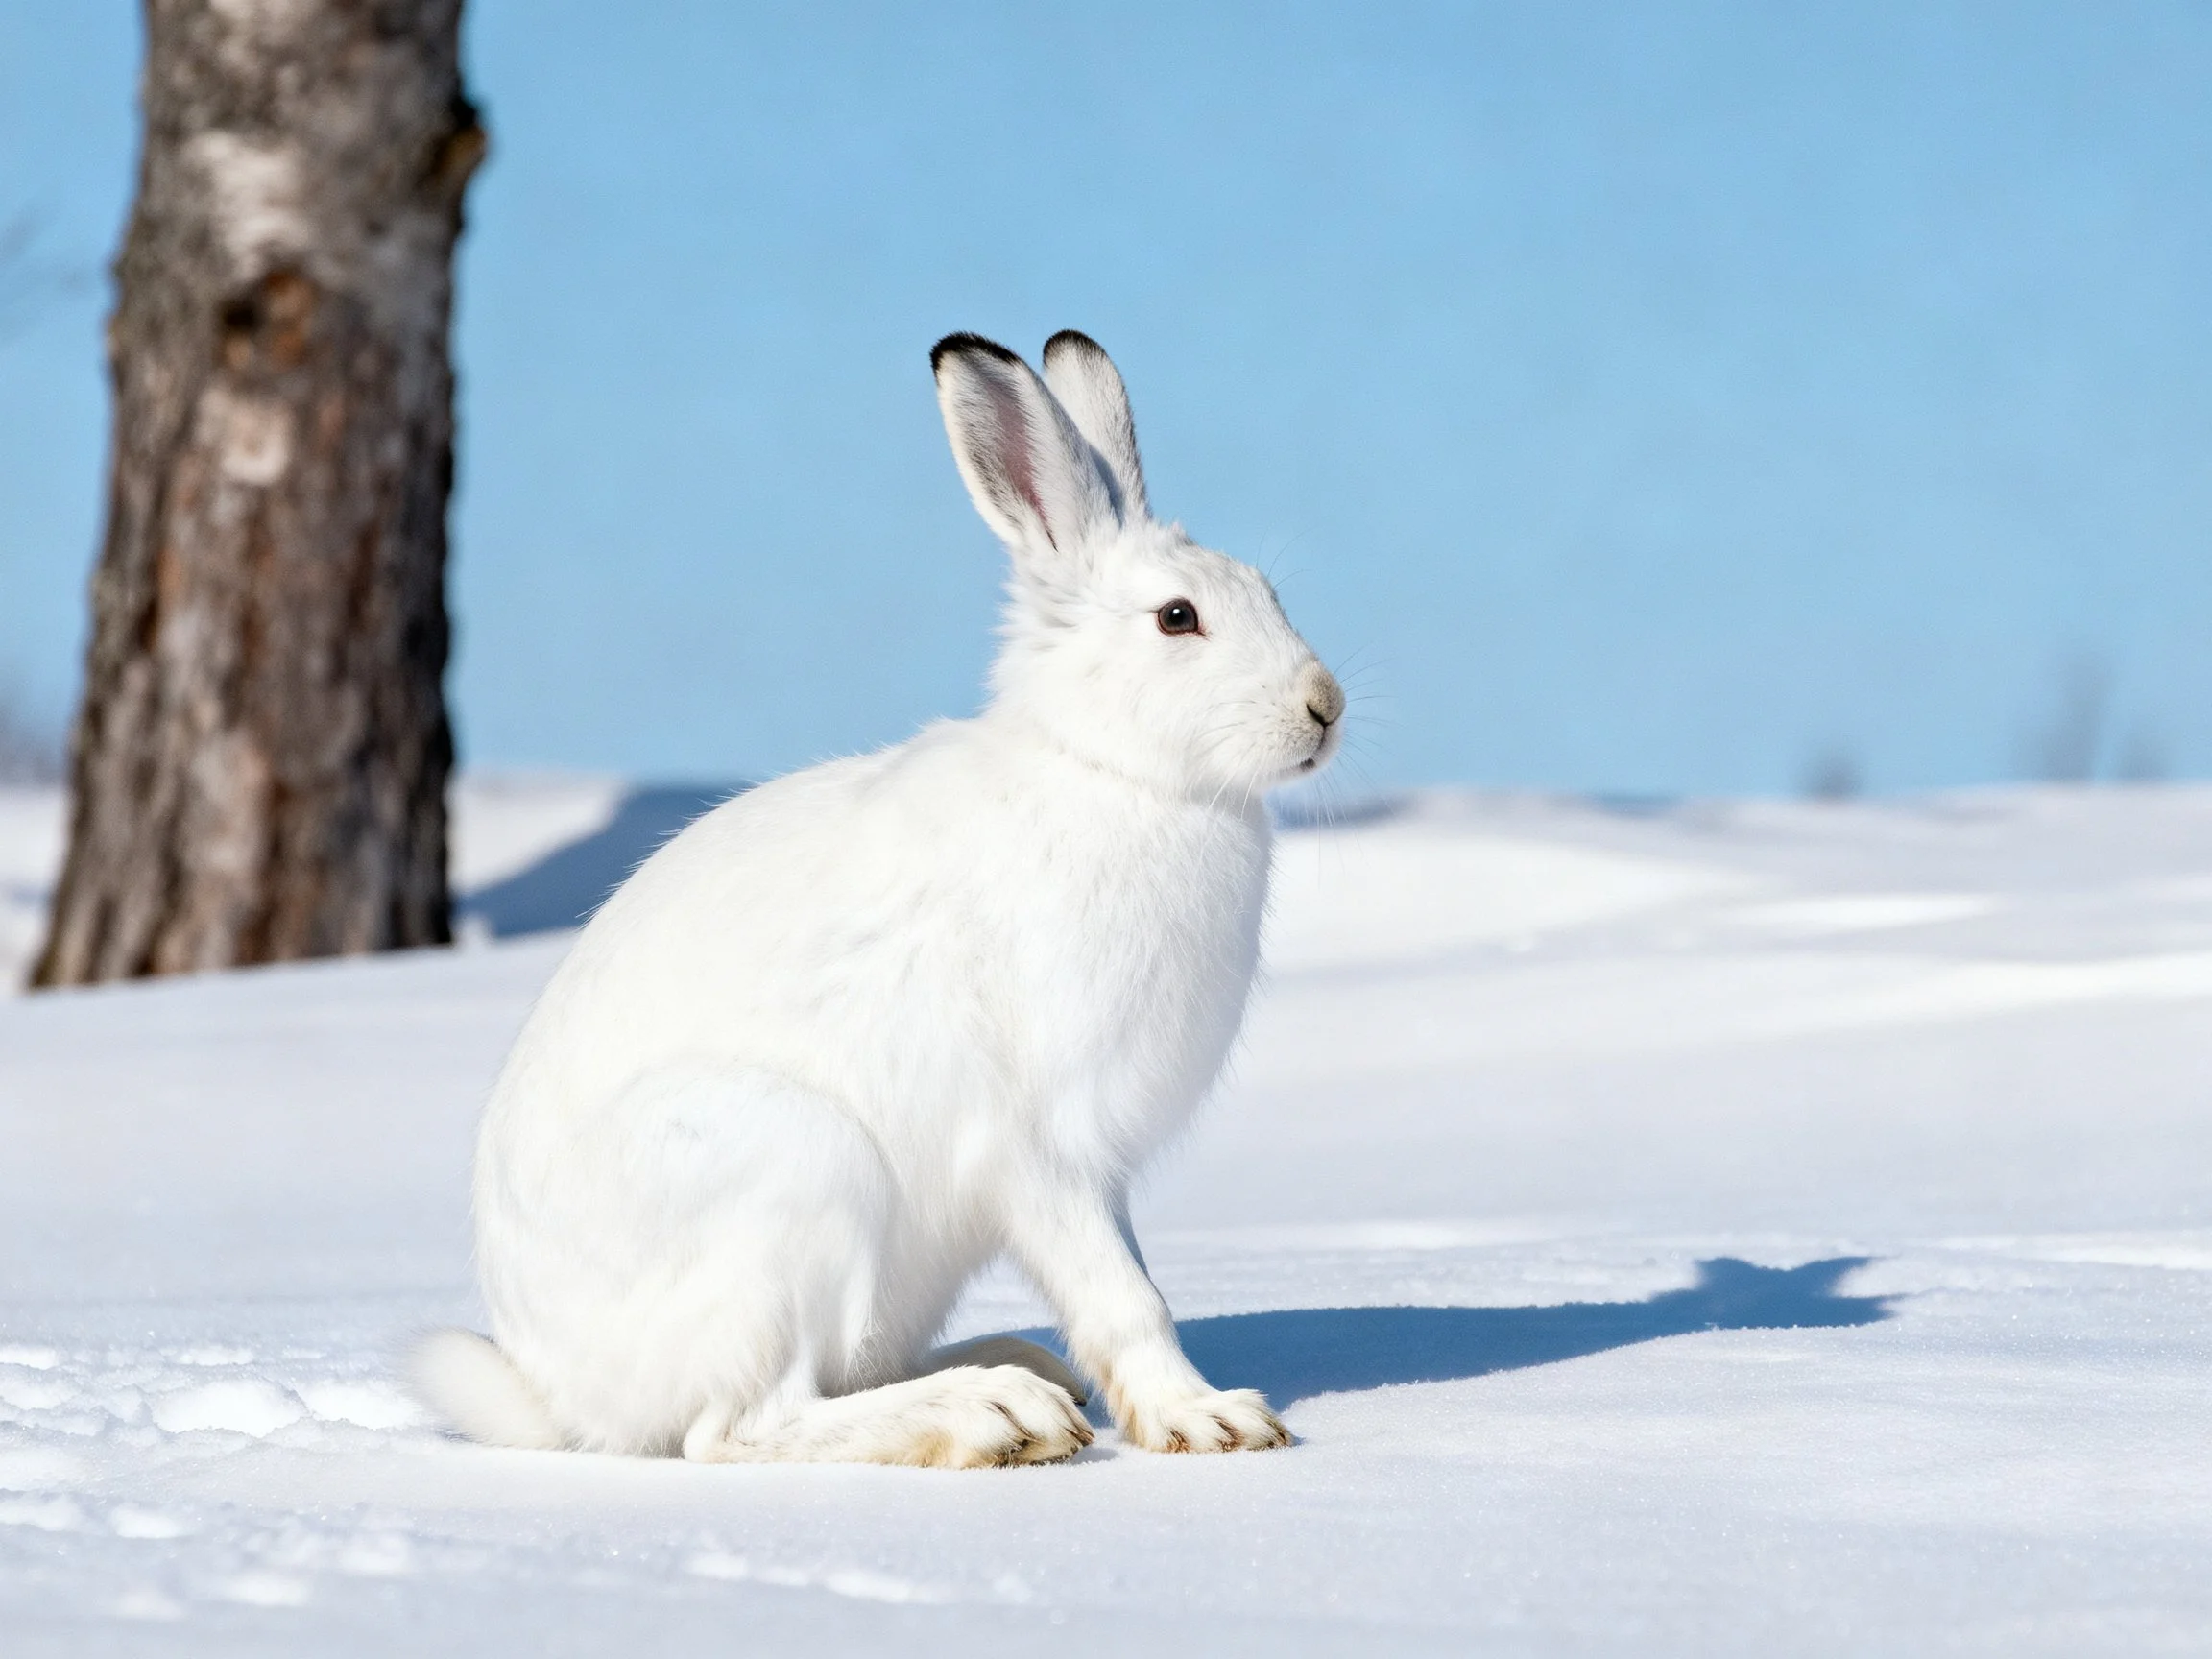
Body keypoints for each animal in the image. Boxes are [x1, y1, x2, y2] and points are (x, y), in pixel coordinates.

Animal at [413, 330, 1345, 1467]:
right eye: (1179, 619)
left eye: (1262, 589)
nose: (1326, 707)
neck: (1111, 772)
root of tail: (566, 1400)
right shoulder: (1036, 1142)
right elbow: (1129, 1298)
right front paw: (1212, 1420)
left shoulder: (1098, 1166)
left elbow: (1124, 1278)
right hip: (791, 1179)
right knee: (740, 1427)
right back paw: (993, 1415)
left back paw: (1022, 1375)